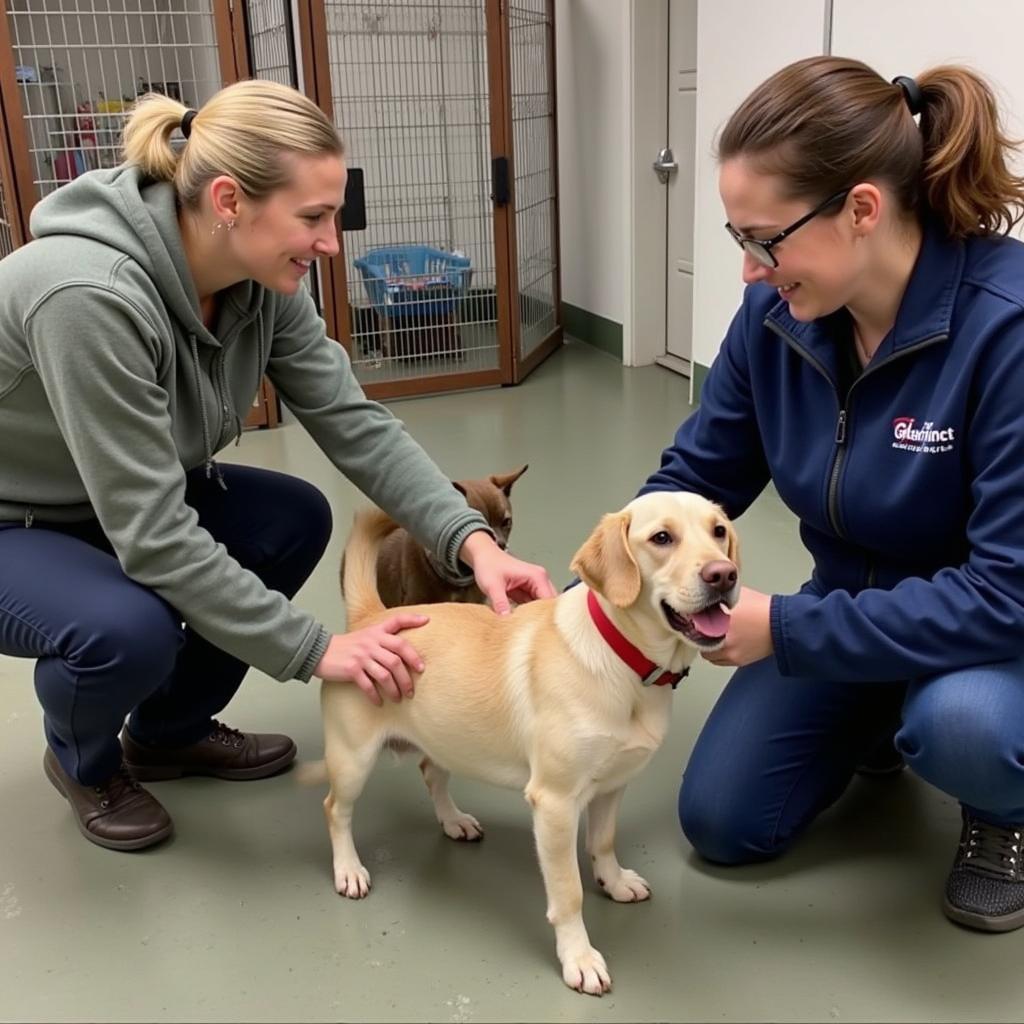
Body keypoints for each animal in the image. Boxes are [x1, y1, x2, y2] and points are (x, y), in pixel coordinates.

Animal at [315, 491, 741, 995]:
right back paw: (348, 868)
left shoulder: (613, 784)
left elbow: (603, 842)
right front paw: (578, 957)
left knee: (431, 775)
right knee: (336, 811)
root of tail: (372, 618)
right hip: (353, 760)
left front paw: (614, 881)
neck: (624, 663)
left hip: (445, 739)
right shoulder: (555, 803)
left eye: (719, 531)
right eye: (661, 538)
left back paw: (453, 820)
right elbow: (569, 893)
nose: (724, 575)